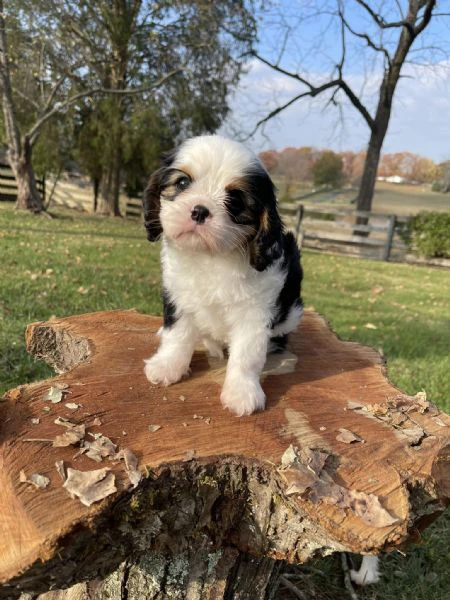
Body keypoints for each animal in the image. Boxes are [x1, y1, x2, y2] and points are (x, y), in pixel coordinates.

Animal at [142, 135, 302, 418]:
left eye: (235, 200)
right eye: (182, 183)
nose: (199, 211)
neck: (212, 256)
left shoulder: (255, 313)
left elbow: (247, 355)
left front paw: (242, 392)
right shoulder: (178, 296)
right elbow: (177, 334)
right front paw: (167, 366)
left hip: (291, 312)